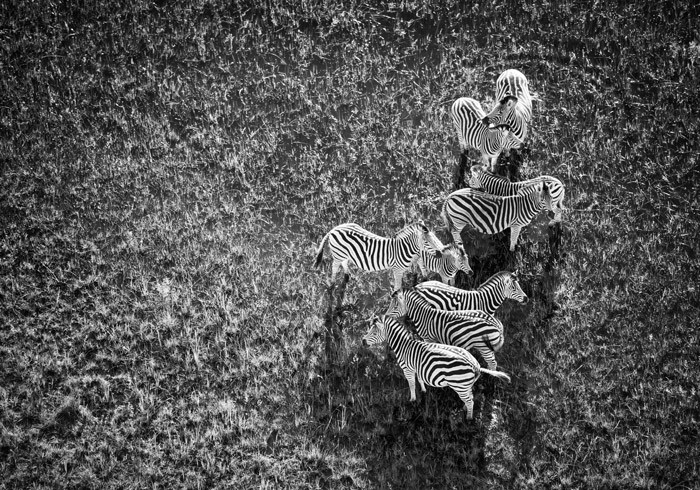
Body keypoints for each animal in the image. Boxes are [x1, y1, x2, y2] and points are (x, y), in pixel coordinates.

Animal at [314, 221, 445, 290]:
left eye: (434, 237)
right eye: (426, 242)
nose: (441, 253)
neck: (406, 249)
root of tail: (334, 229)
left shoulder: (415, 260)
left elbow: (420, 270)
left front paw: (423, 281)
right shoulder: (397, 270)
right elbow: (398, 286)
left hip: (344, 253)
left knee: (344, 263)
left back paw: (347, 277)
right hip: (338, 253)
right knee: (334, 266)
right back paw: (332, 283)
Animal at [362, 315, 511, 419]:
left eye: (373, 333)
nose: (362, 341)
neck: (404, 346)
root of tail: (475, 365)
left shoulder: (407, 369)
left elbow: (411, 384)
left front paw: (412, 400)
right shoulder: (417, 367)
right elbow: (420, 379)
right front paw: (423, 391)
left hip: (459, 384)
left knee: (470, 401)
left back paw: (468, 419)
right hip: (464, 385)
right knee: (470, 398)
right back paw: (464, 409)